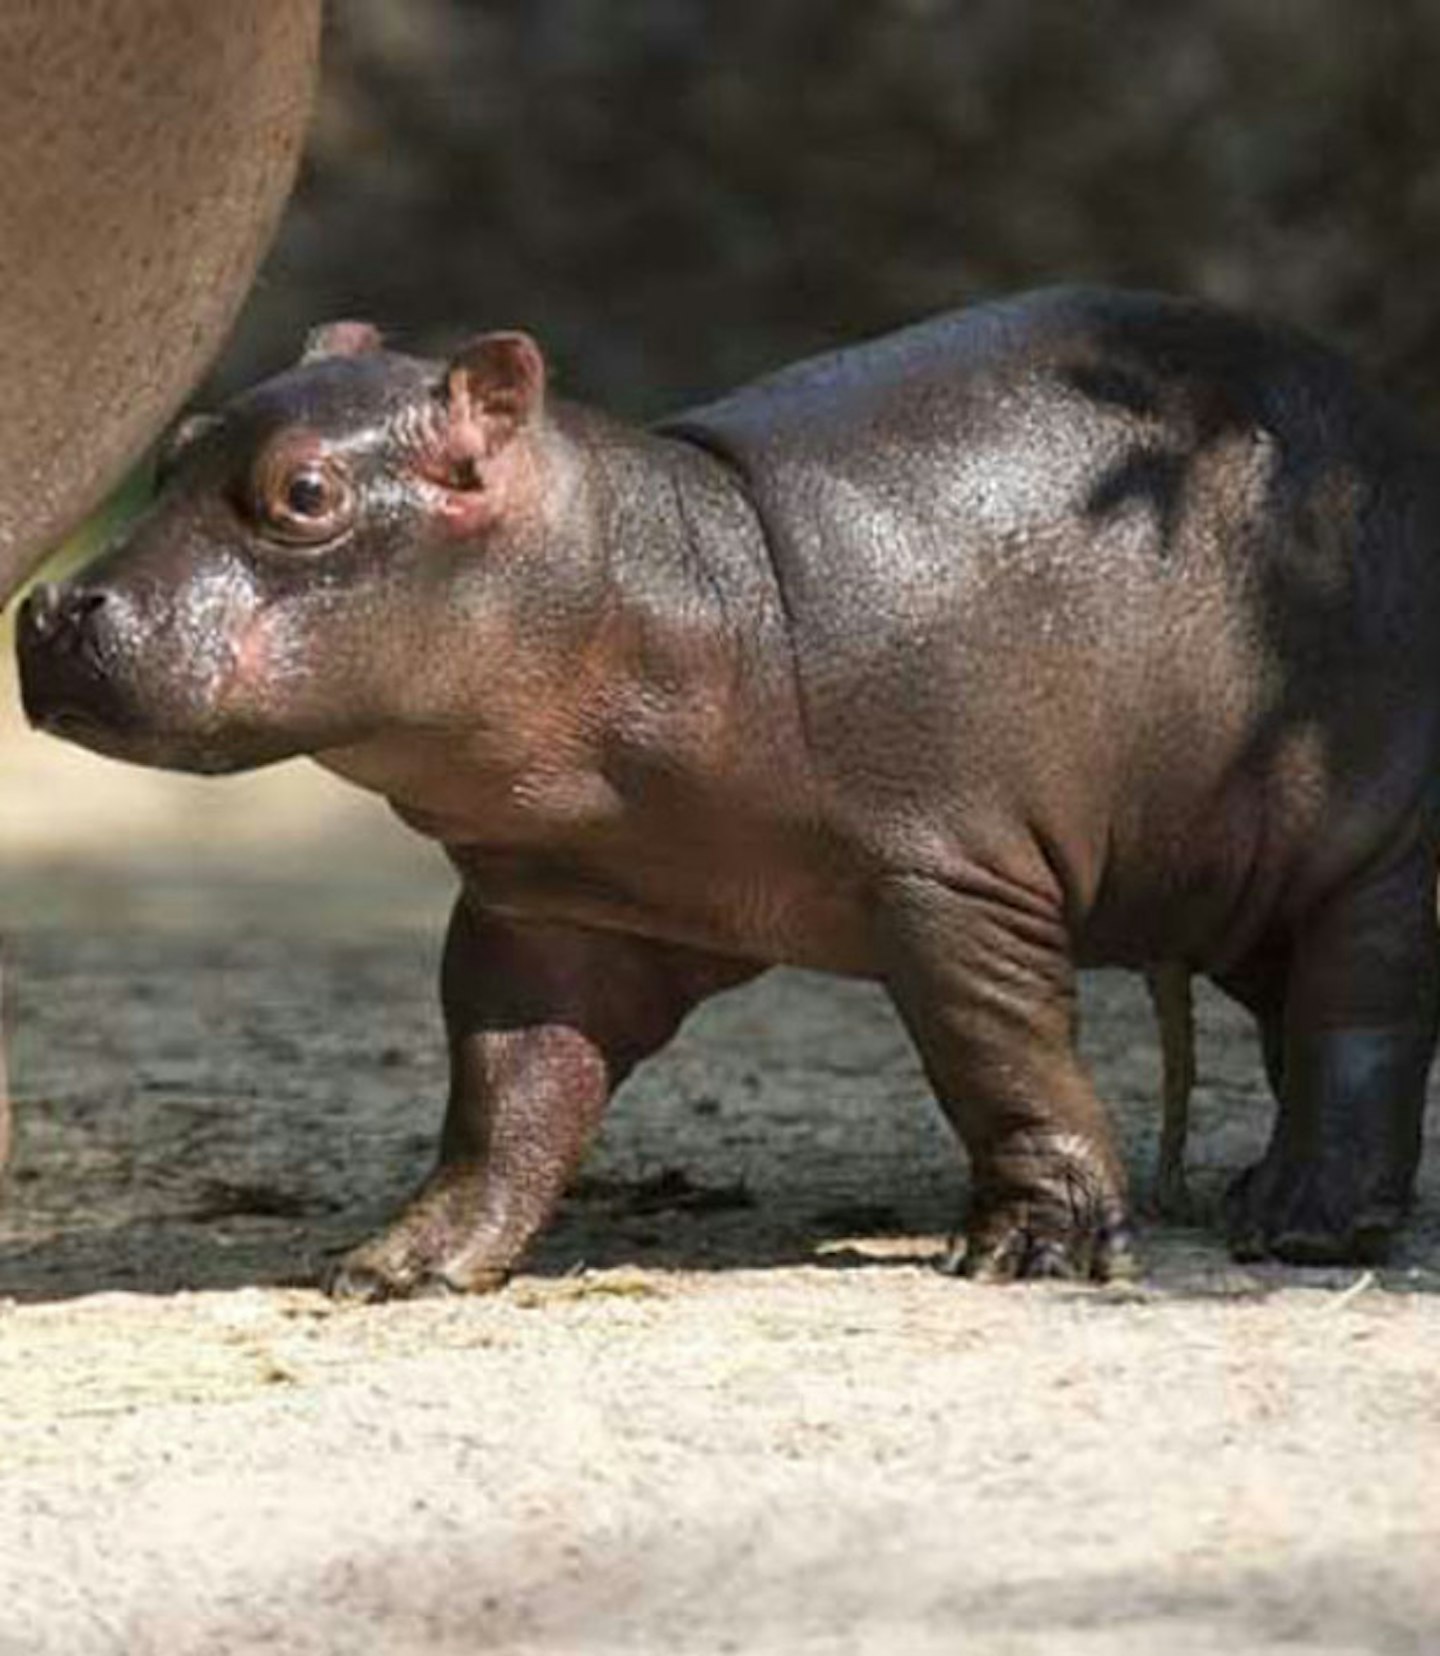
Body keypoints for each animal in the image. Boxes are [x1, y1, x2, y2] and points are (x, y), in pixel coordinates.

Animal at [14, 288, 1440, 1291]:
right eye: (174, 448)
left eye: (303, 492)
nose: (53, 608)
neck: (655, 582)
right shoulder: (547, 912)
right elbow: (504, 1094)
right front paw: (400, 1264)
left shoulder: (949, 878)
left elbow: (1004, 1057)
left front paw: (1034, 1251)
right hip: (1229, 882)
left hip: (1371, 850)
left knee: (1360, 1021)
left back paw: (1302, 1224)